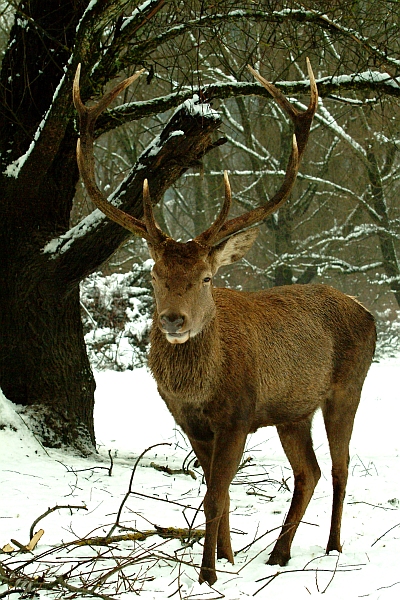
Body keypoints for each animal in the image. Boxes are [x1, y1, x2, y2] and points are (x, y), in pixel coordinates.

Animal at [73, 62, 376, 584]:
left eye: (207, 277)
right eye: (155, 273)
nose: (173, 319)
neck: (200, 388)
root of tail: (369, 312)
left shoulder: (237, 414)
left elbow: (215, 497)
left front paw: (208, 576)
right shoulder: (192, 423)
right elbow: (222, 494)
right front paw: (230, 561)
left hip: (346, 388)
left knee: (340, 466)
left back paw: (332, 547)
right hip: (292, 410)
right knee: (309, 470)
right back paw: (279, 553)